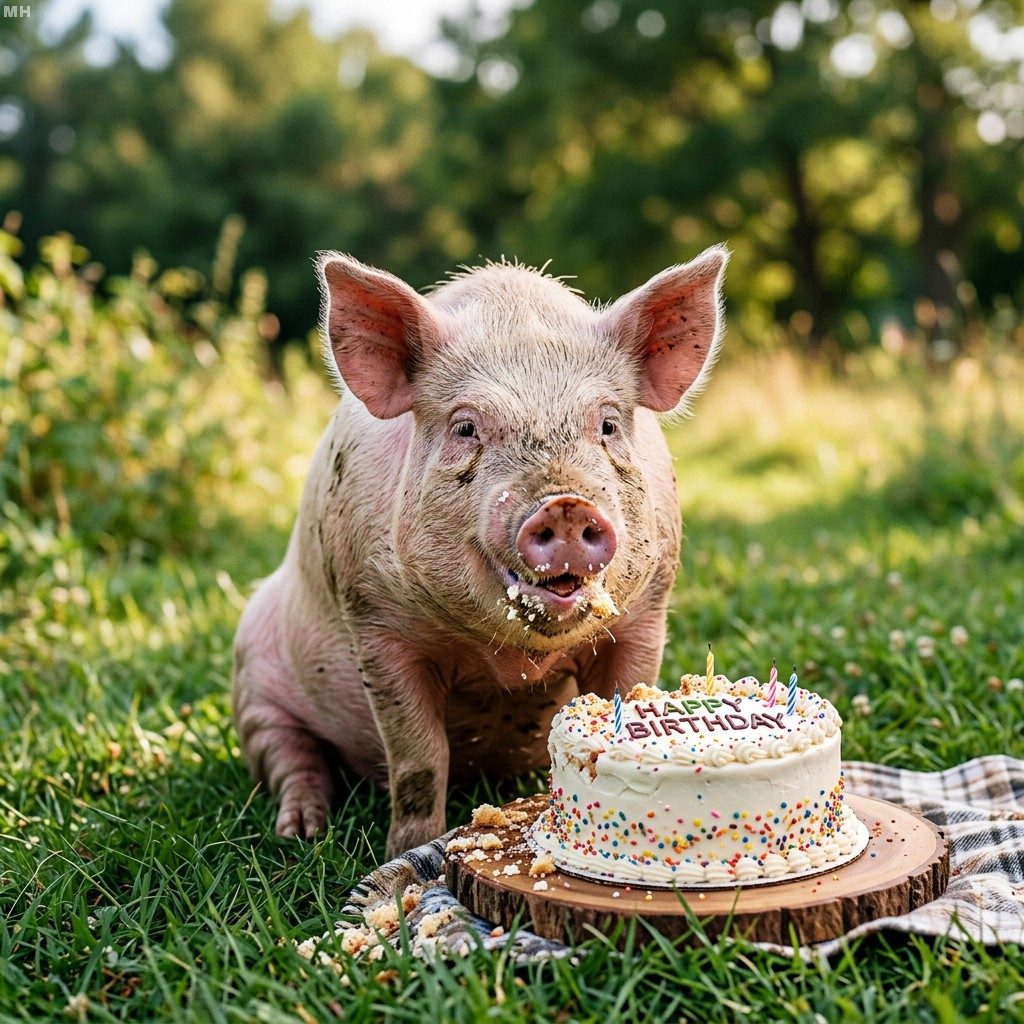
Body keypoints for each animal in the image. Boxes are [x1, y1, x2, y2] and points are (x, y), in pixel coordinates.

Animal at [232, 245, 728, 857]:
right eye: (466, 427)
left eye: (609, 424)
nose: (565, 505)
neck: (510, 663)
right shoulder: (374, 622)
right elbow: (419, 758)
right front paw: (408, 852)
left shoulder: (646, 616)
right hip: (251, 677)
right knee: (290, 756)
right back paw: (301, 832)